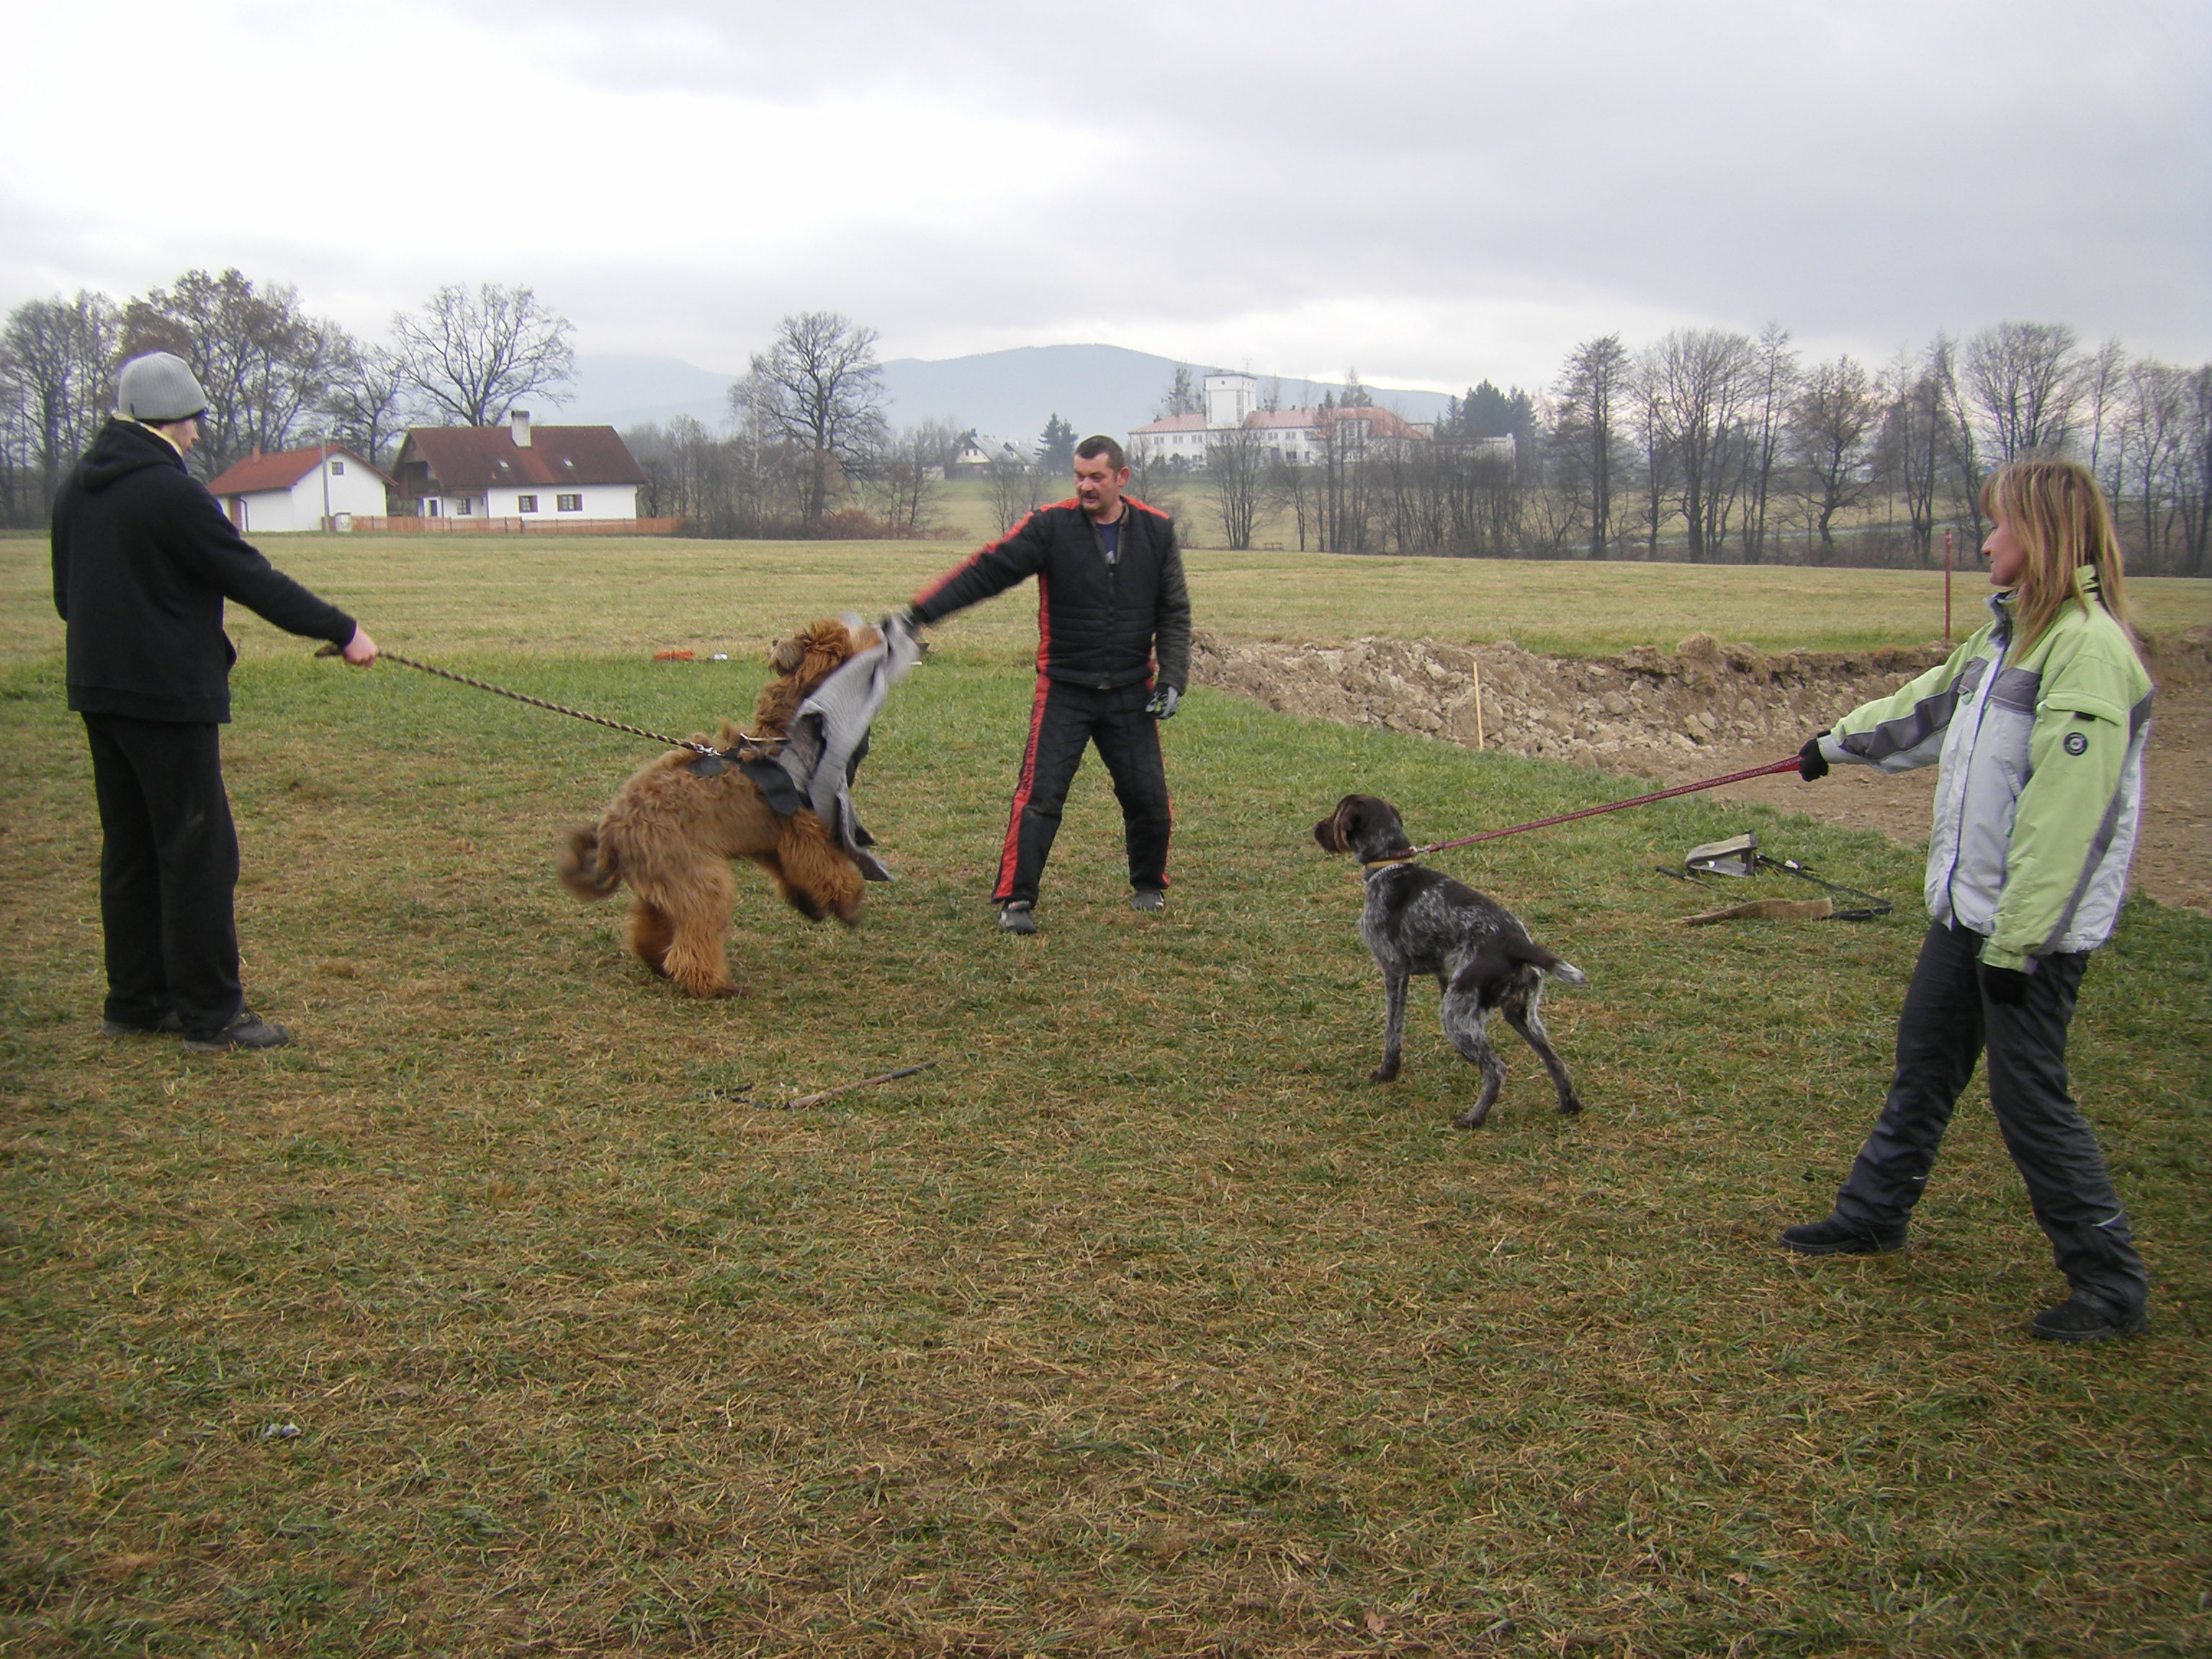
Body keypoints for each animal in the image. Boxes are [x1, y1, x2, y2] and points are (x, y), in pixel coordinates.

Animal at [557, 615, 884, 995]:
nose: (882, 633)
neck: (786, 737)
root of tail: (611, 835)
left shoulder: (771, 841)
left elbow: (791, 872)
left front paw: (809, 904)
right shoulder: (804, 832)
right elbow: (829, 871)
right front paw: (848, 904)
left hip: (663, 885)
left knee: (651, 927)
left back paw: (657, 962)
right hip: (697, 878)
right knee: (694, 938)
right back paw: (712, 985)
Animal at [1309, 791, 1592, 1132]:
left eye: (1335, 814)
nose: (1316, 829)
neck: (1390, 866)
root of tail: (1518, 942)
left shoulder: (1394, 971)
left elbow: (1393, 1031)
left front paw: (1387, 1073)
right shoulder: (1444, 974)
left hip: (1456, 1015)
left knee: (1497, 1069)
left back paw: (1474, 1118)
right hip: (1520, 1014)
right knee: (1556, 1062)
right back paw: (1568, 1105)